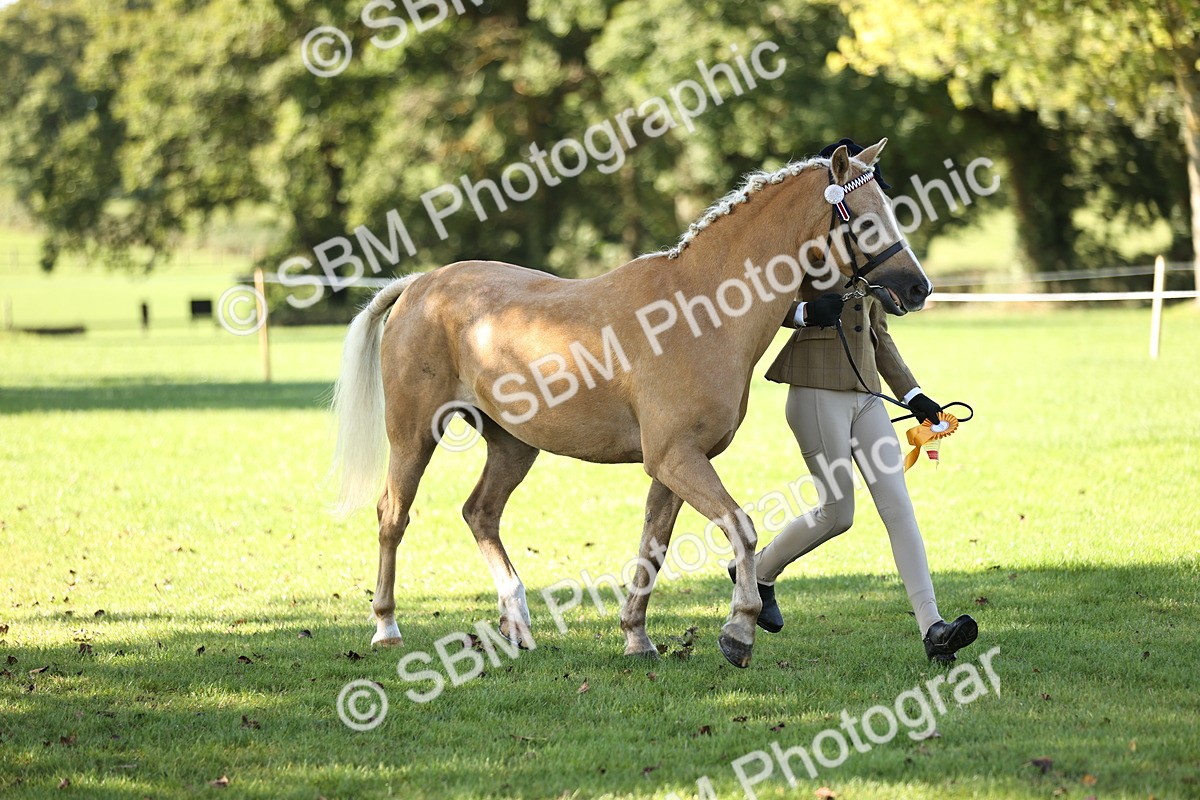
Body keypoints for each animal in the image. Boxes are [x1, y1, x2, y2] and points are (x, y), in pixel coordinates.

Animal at [331, 138, 932, 668]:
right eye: (866, 219)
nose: (918, 288)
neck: (700, 311)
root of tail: (419, 285)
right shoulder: (674, 458)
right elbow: (741, 528)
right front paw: (738, 630)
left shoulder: (675, 465)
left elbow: (654, 547)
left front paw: (637, 638)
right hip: (414, 434)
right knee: (393, 515)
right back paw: (386, 626)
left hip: (513, 445)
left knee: (480, 512)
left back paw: (517, 624)